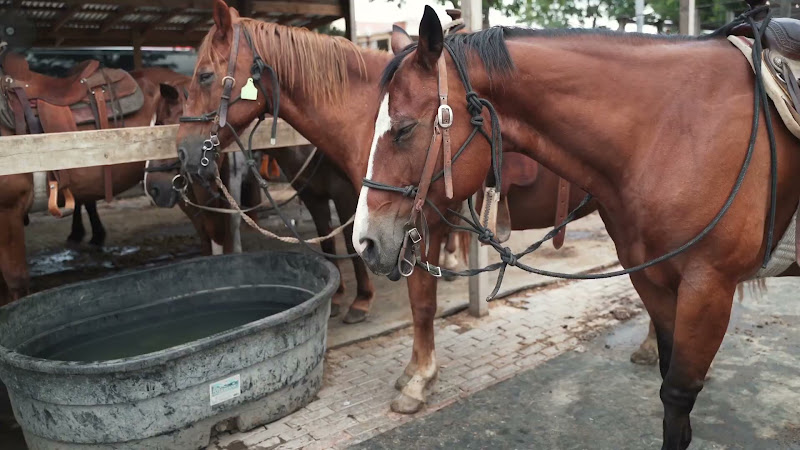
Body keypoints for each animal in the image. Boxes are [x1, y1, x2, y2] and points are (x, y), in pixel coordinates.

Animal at [355, 6, 800, 448]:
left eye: (405, 128)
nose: (365, 242)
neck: (674, 131)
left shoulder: (708, 287)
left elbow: (677, 395)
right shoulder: (653, 279)